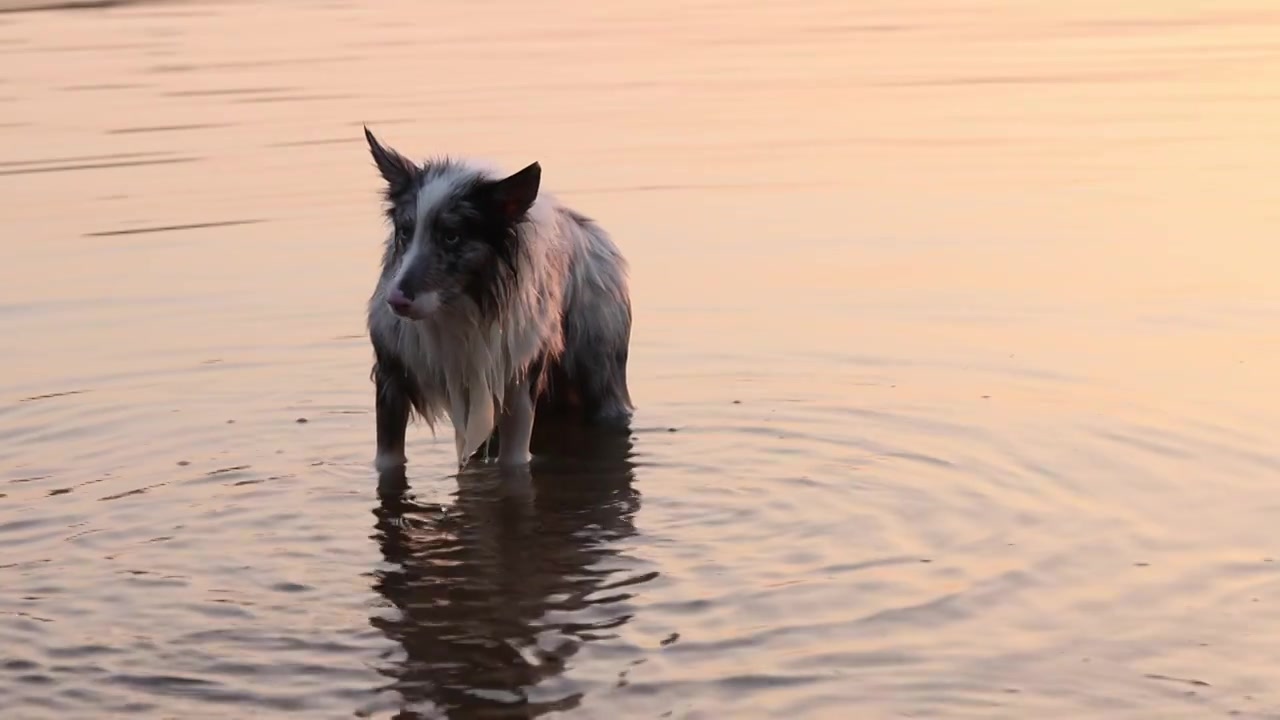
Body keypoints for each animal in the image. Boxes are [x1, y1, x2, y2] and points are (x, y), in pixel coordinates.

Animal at [363, 128, 632, 471]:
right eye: (405, 231)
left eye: (452, 236)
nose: (396, 300)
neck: (460, 309)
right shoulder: (392, 378)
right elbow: (388, 460)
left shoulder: (518, 381)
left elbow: (514, 463)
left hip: (599, 381)